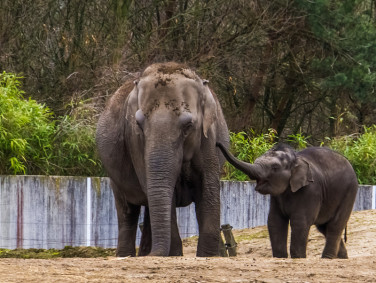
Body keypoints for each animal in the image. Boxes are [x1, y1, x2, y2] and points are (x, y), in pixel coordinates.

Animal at [96, 62, 229, 258]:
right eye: (138, 124)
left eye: (188, 125)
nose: (153, 254)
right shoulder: (134, 142)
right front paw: (174, 254)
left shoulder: (208, 138)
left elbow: (208, 188)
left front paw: (208, 256)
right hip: (115, 177)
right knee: (128, 211)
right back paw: (128, 255)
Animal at [216, 144, 356, 260]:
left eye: (275, 167)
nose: (217, 143)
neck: (295, 159)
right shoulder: (276, 197)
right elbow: (275, 221)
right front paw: (280, 257)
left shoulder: (311, 190)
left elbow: (300, 221)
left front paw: (298, 258)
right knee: (324, 227)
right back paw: (342, 258)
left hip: (349, 193)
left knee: (334, 225)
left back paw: (327, 258)